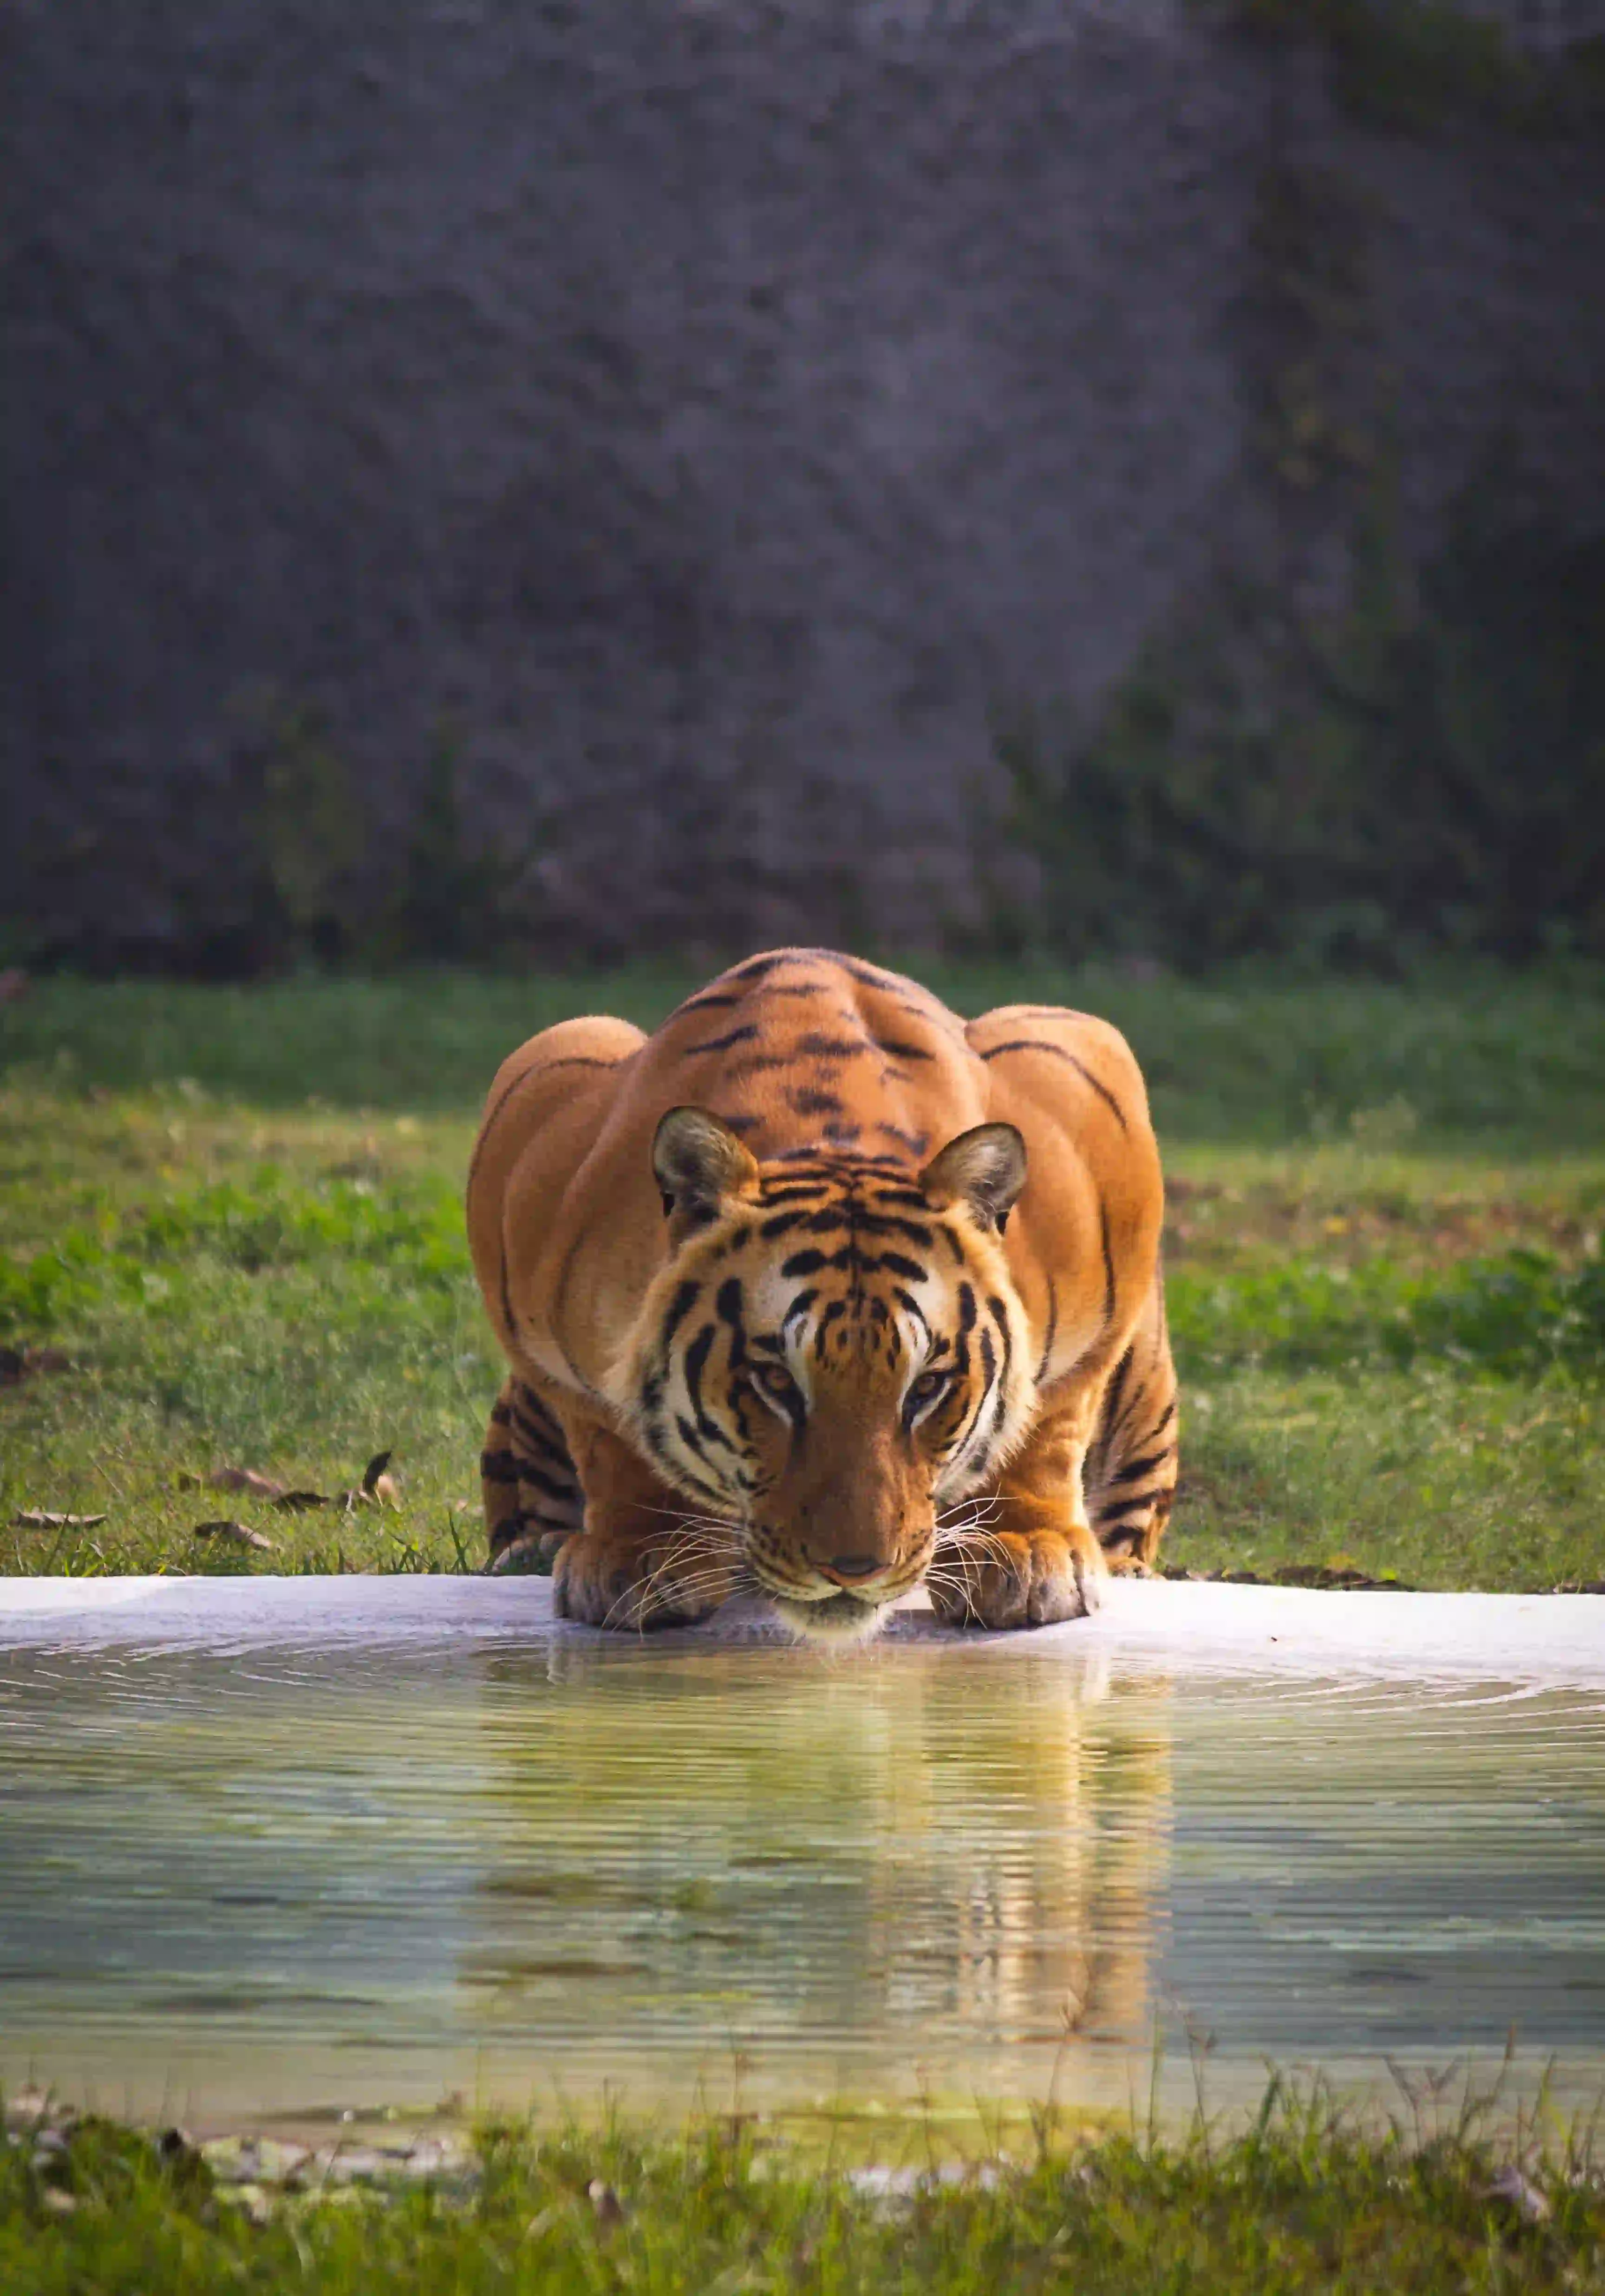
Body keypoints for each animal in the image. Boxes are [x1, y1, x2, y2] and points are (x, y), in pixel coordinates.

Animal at [463, 946, 1185, 1635]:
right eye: (776, 1383)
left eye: (928, 1388)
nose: (856, 1570)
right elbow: (608, 1433)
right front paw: (638, 1555)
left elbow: (1051, 1419)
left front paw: (1028, 1553)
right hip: (576, 1038)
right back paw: (532, 1551)